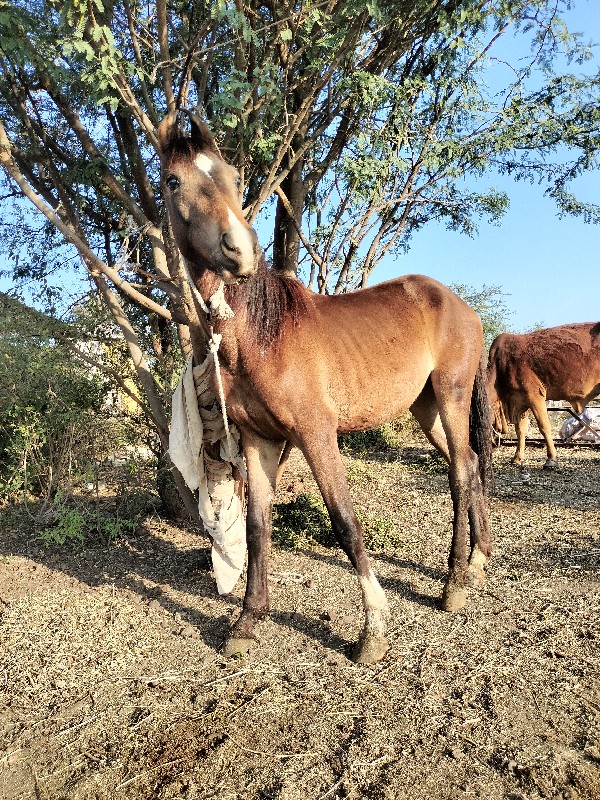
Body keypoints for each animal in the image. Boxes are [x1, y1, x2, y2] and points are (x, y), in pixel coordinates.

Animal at [156, 112, 492, 664]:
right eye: (172, 181)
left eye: (233, 176)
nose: (240, 249)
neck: (260, 335)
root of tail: (461, 305)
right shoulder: (258, 440)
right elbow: (257, 527)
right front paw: (248, 621)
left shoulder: (316, 434)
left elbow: (345, 521)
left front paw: (373, 631)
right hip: (425, 410)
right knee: (469, 467)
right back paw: (479, 561)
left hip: (451, 396)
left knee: (462, 473)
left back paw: (455, 584)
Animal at [488, 322, 600, 466]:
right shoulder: (521, 402)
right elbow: (520, 430)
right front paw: (517, 457)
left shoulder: (535, 396)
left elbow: (544, 427)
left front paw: (551, 458)